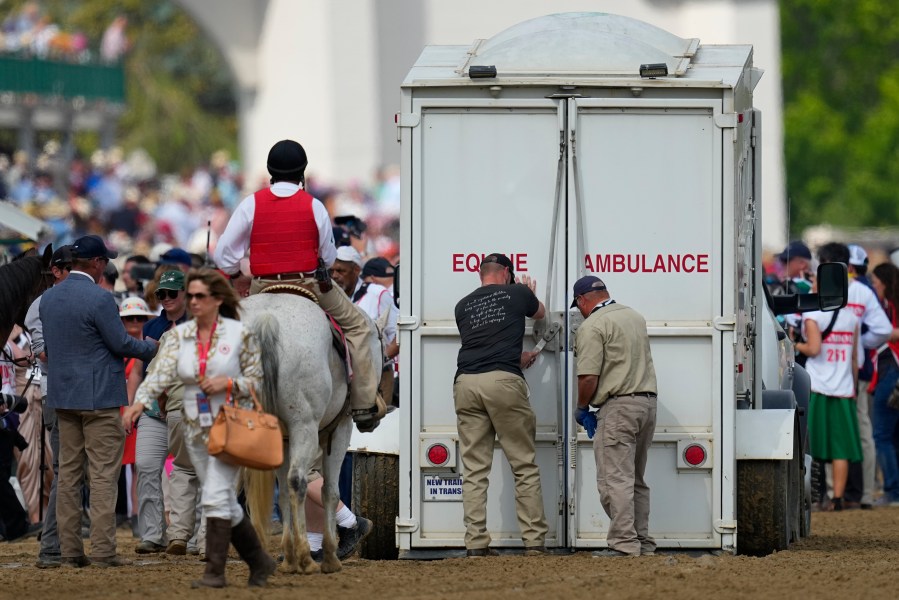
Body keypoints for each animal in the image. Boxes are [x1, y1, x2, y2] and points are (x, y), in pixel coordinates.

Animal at [241, 292, 382, 576]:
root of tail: (266, 319)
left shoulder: (284, 440)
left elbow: (284, 492)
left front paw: (289, 556)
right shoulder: (340, 428)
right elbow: (330, 490)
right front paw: (329, 556)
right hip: (305, 426)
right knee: (299, 480)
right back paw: (307, 558)